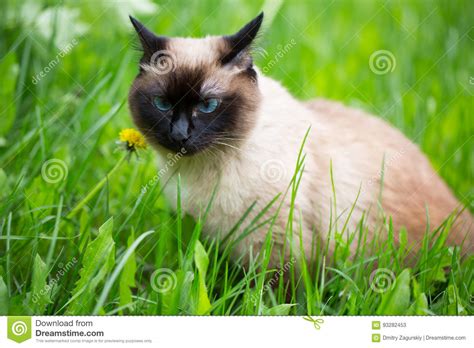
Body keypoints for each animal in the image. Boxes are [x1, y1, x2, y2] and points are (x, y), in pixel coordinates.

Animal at [128, 13, 472, 264]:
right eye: (162, 104)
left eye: (208, 105)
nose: (180, 135)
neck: (200, 174)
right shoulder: (202, 232)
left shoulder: (277, 245)